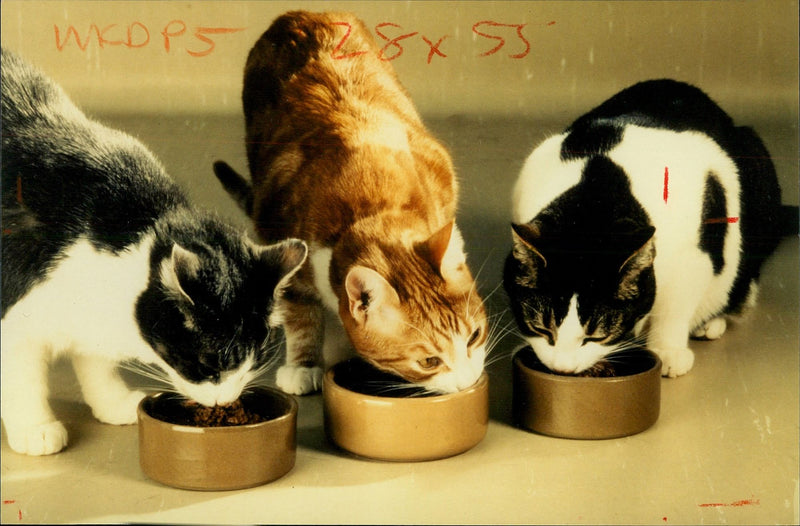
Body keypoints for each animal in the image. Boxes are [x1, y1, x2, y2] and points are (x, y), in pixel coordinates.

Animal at [1, 47, 308, 456]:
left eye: (254, 359)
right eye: (208, 363)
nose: (224, 401)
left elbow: (95, 361)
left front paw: (112, 401)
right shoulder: (15, 318)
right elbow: (22, 378)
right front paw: (35, 427)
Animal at [214, 10, 488, 396]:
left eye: (475, 336)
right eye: (429, 361)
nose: (467, 383)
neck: (373, 208)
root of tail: (298, 15)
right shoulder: (283, 239)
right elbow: (301, 315)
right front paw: (303, 365)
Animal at [504, 79, 784, 380]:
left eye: (596, 336)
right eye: (540, 328)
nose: (562, 368)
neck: (596, 195)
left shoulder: (692, 258)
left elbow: (675, 309)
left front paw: (668, 350)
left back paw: (712, 321)